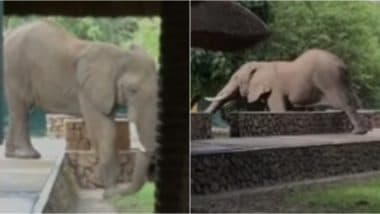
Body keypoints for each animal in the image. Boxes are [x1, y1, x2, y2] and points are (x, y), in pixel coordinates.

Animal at [4, 20, 159, 197]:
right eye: (132, 90)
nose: (115, 193)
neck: (119, 56)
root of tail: (10, 33)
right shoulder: (87, 89)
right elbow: (104, 131)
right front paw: (110, 190)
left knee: (19, 110)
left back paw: (12, 154)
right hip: (15, 68)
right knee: (21, 109)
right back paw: (29, 155)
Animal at [205, 49, 368, 135]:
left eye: (236, 78)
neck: (262, 64)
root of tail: (343, 64)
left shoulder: (275, 87)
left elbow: (278, 110)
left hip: (330, 80)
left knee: (346, 103)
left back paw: (357, 132)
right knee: (354, 101)